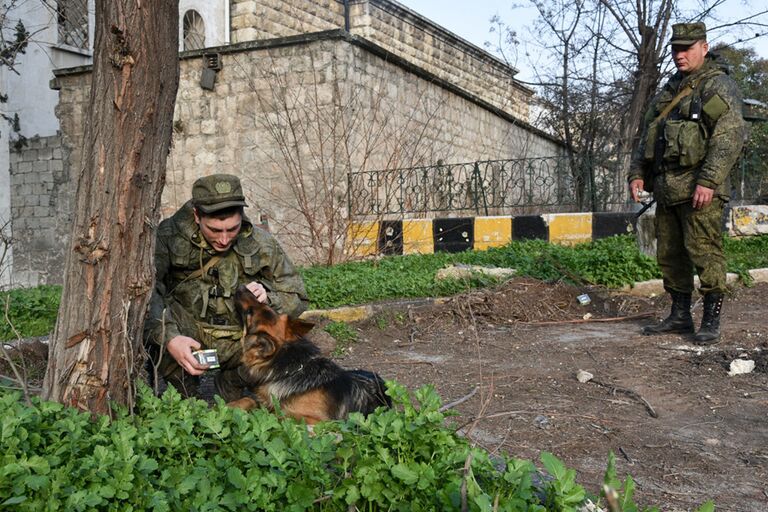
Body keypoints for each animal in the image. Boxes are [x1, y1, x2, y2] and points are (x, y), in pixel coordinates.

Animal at [228, 284, 390, 424]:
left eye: (250, 312)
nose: (242, 286)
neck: (291, 370)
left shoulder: (317, 422)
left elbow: (278, 414)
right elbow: (248, 400)